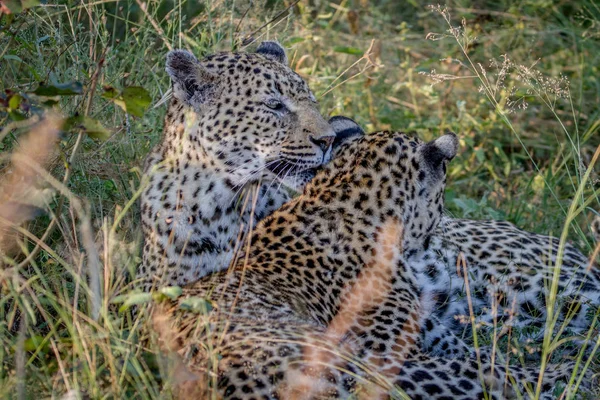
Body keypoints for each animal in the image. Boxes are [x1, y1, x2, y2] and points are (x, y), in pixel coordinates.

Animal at [151, 127, 584, 400]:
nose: (436, 234)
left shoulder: (431, 333)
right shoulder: (396, 349)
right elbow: (480, 362)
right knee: (496, 380)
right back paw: (570, 373)